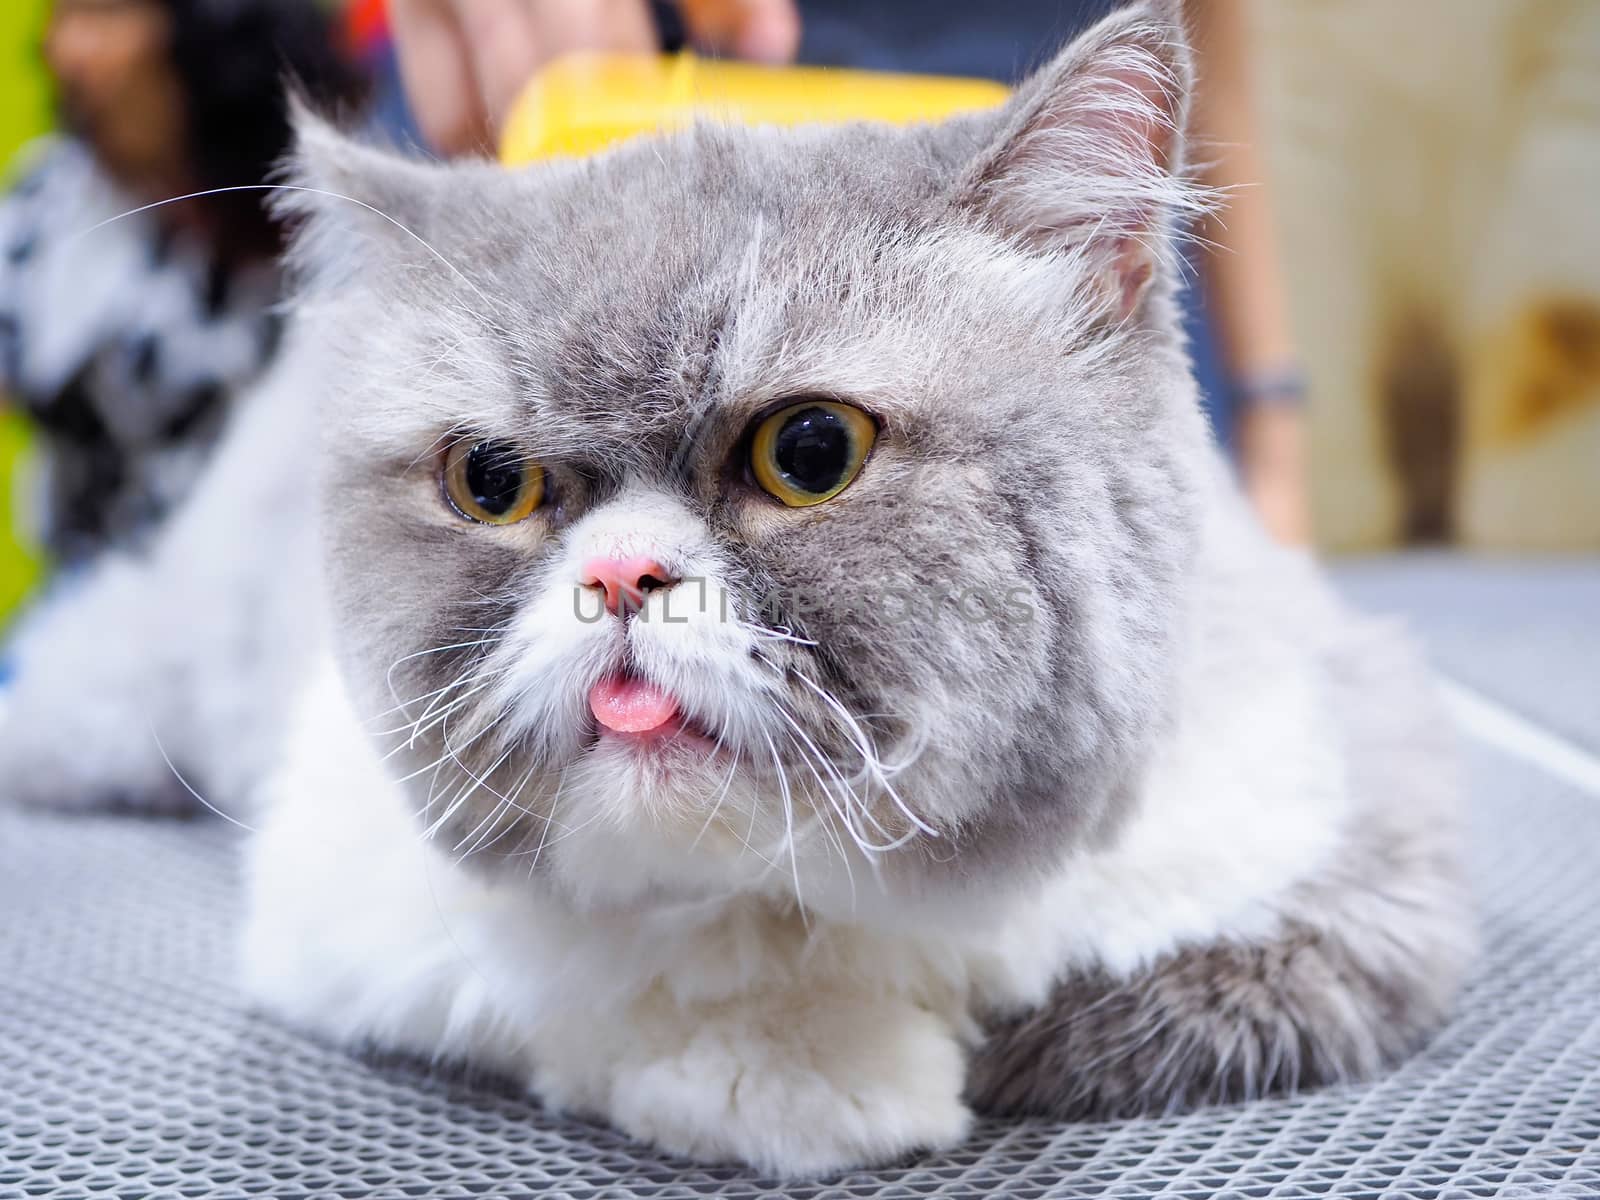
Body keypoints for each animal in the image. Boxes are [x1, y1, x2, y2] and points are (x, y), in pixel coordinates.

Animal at [3, 0, 1472, 1177]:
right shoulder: (348, 901)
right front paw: (804, 1071)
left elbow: (1191, 994)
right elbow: (622, 976)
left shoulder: (1344, 819)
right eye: (492, 481)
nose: (618, 575)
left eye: (810, 451)